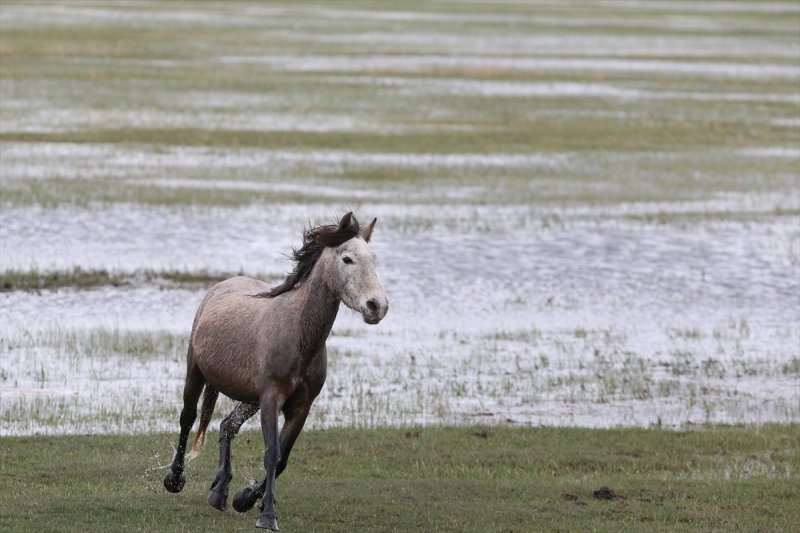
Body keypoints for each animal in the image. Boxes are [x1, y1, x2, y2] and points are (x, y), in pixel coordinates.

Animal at [162, 212, 388, 528]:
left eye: (374, 259)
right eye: (347, 259)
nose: (377, 306)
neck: (298, 335)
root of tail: (220, 287)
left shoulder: (301, 407)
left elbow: (281, 459)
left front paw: (245, 499)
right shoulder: (271, 398)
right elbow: (271, 453)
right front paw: (267, 516)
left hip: (249, 397)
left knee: (227, 425)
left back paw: (219, 492)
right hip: (196, 371)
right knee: (188, 418)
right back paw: (175, 479)